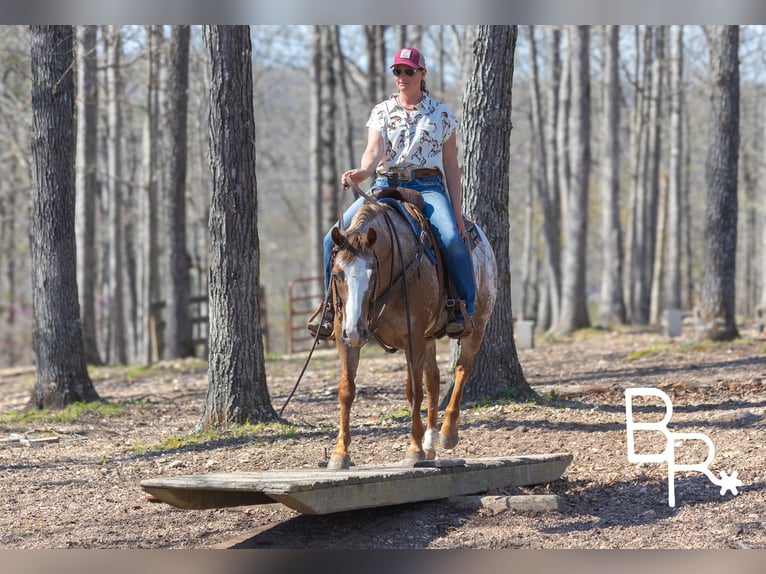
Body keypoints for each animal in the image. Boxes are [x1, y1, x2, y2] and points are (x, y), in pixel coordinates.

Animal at [325, 196, 497, 470]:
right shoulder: (346, 335)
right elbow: (346, 390)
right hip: (427, 338)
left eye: (372, 272)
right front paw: (340, 453)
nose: (355, 330)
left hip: (477, 325)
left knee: (461, 369)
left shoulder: (413, 336)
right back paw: (430, 444)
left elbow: (415, 392)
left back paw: (447, 433)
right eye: (337, 273)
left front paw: (413, 450)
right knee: (434, 380)